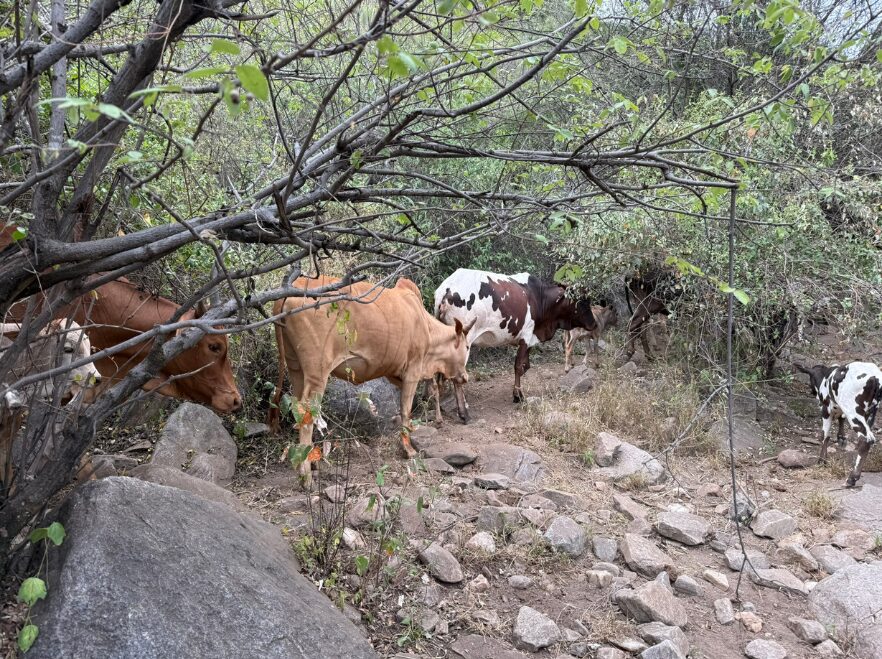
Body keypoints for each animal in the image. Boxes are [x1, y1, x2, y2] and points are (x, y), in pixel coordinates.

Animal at [268, 275, 472, 485]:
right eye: (467, 346)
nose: (465, 377)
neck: (426, 327)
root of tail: (293, 288)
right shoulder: (412, 372)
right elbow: (406, 410)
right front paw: (408, 450)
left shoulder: (396, 372)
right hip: (318, 372)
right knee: (307, 411)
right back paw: (306, 476)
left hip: (295, 368)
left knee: (296, 407)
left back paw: (311, 462)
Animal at [434, 268, 596, 406]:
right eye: (581, 301)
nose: (594, 323)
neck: (540, 298)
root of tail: (446, 289)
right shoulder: (526, 337)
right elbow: (518, 366)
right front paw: (518, 395)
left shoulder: (530, 339)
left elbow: (526, 365)